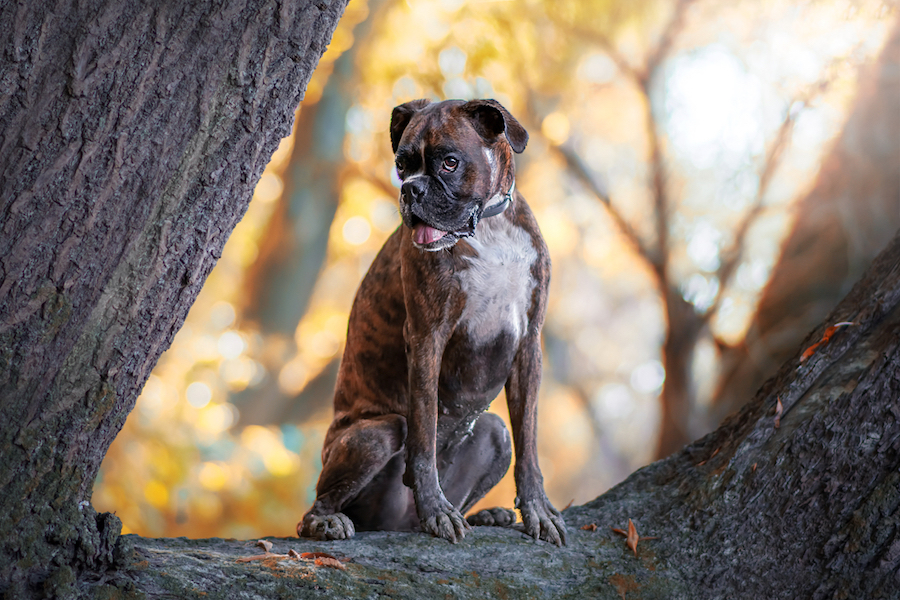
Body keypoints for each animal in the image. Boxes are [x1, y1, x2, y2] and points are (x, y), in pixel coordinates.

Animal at [298, 99, 568, 548]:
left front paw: (537, 510)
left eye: (449, 163)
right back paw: (330, 521)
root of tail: (393, 522)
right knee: (313, 510)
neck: (489, 228)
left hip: (495, 433)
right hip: (378, 432)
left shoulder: (529, 344)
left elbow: (529, 444)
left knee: (496, 442)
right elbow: (424, 436)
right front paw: (435, 508)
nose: (410, 190)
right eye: (402, 166)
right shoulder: (428, 338)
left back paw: (485, 515)